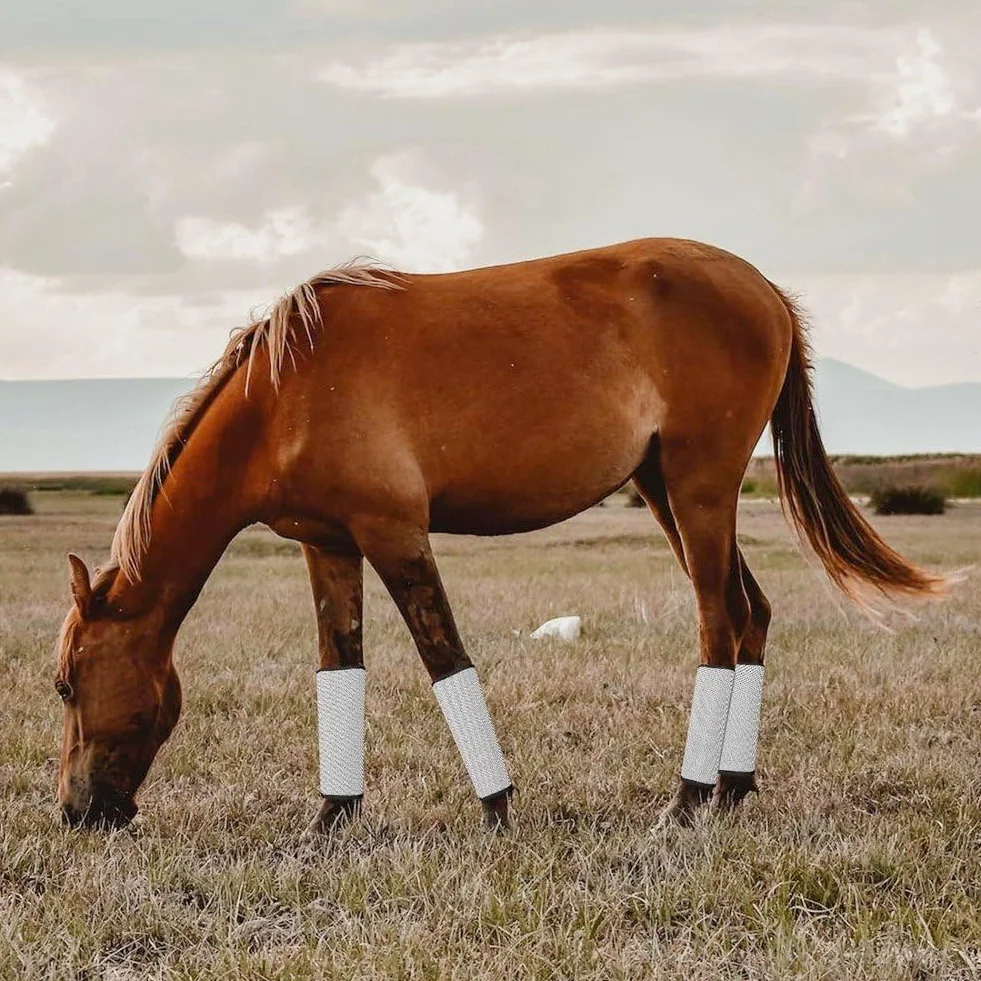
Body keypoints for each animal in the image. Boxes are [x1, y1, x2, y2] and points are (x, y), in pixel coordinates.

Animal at [53, 238, 944, 835]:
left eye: (63, 685)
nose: (73, 812)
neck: (284, 394)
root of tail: (764, 290)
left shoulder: (394, 533)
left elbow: (444, 658)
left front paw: (497, 807)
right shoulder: (328, 544)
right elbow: (339, 664)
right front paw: (332, 817)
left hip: (698, 490)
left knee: (718, 626)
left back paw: (686, 799)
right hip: (665, 490)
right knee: (750, 612)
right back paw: (730, 787)